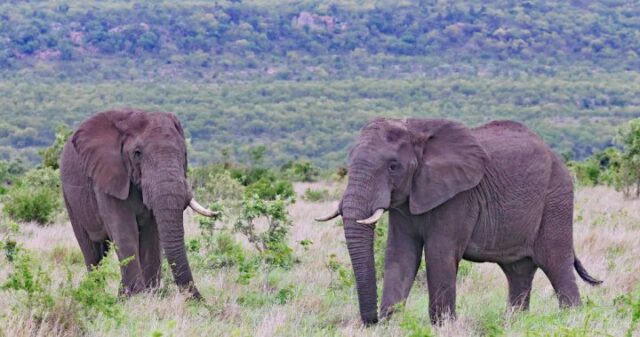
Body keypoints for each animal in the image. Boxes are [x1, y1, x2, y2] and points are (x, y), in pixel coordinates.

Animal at [61, 107, 219, 296]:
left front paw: (149, 295)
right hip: (69, 198)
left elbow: (152, 236)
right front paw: (137, 297)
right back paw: (95, 292)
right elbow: (125, 232)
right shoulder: (108, 177)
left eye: (185, 154)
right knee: (92, 252)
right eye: (137, 153)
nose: (198, 298)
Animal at [318, 117, 604, 322]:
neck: (416, 132)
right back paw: (514, 323)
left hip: (556, 198)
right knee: (518, 270)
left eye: (393, 166)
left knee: (555, 262)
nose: (372, 321)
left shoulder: (458, 197)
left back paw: (571, 320)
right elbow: (401, 255)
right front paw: (391, 324)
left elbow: (439, 254)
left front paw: (442, 326)